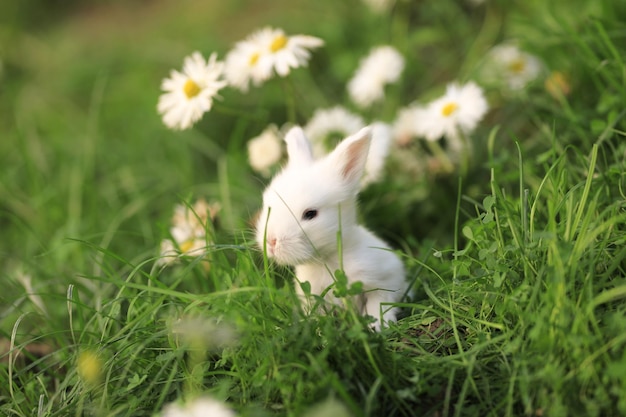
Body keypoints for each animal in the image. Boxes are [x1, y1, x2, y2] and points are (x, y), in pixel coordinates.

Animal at [256, 125, 408, 330]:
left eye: (310, 214)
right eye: (268, 205)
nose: (271, 241)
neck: (326, 260)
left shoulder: (386, 280)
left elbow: (379, 303)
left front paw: (379, 326)